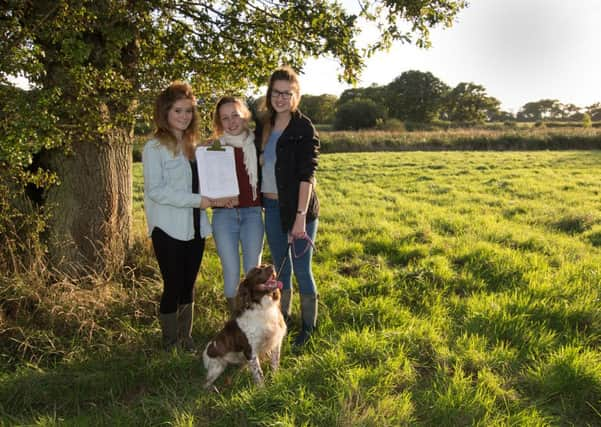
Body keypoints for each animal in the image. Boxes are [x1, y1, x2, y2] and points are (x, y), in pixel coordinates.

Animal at [202, 264, 286, 392]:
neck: (264, 308)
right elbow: (258, 373)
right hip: (217, 366)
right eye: (257, 271)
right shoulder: (251, 351)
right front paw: (262, 390)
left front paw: (275, 380)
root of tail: (205, 351)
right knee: (205, 383)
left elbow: (275, 364)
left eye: (265, 265)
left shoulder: (276, 343)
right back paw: (213, 389)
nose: (272, 266)